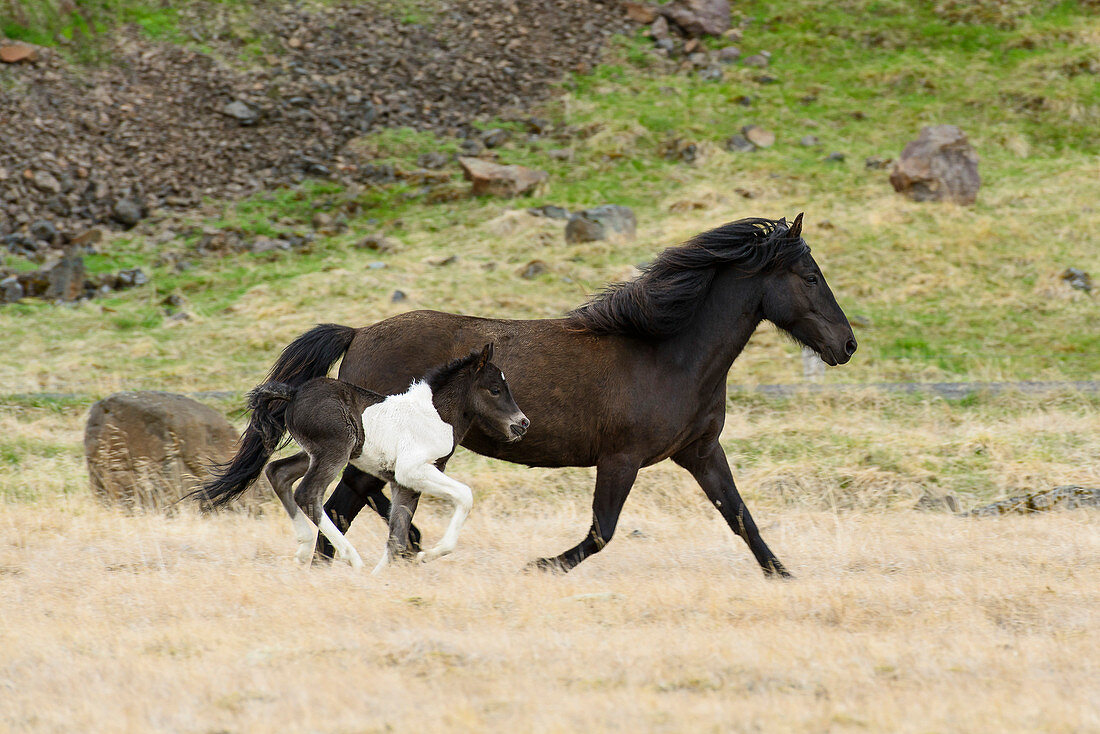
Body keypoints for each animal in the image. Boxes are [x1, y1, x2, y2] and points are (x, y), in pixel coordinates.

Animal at [255, 215, 849, 576]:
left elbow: (741, 517)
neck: (669, 357)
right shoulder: (621, 459)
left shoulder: (700, 452)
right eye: (811, 276)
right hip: (374, 452)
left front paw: (783, 576)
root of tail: (358, 333)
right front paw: (541, 567)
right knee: (334, 503)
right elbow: (602, 531)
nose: (847, 344)